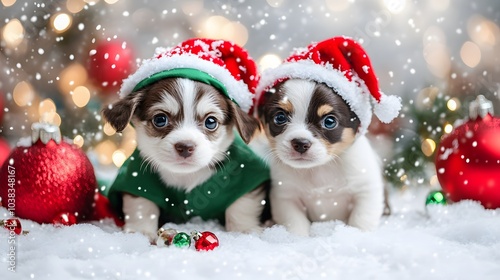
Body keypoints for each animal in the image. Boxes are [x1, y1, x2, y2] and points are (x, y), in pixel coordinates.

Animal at [102, 77, 272, 240]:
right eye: (160, 119)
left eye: (211, 122)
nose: (185, 146)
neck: (186, 175)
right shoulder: (135, 180)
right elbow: (141, 205)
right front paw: (140, 231)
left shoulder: (246, 177)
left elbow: (241, 205)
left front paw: (243, 230)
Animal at [260, 79, 384, 236]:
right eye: (280, 118)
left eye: (329, 122)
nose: (301, 143)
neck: (319, 169)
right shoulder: (286, 197)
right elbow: (295, 223)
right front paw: (295, 238)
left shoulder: (366, 190)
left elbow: (361, 220)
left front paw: (356, 235)